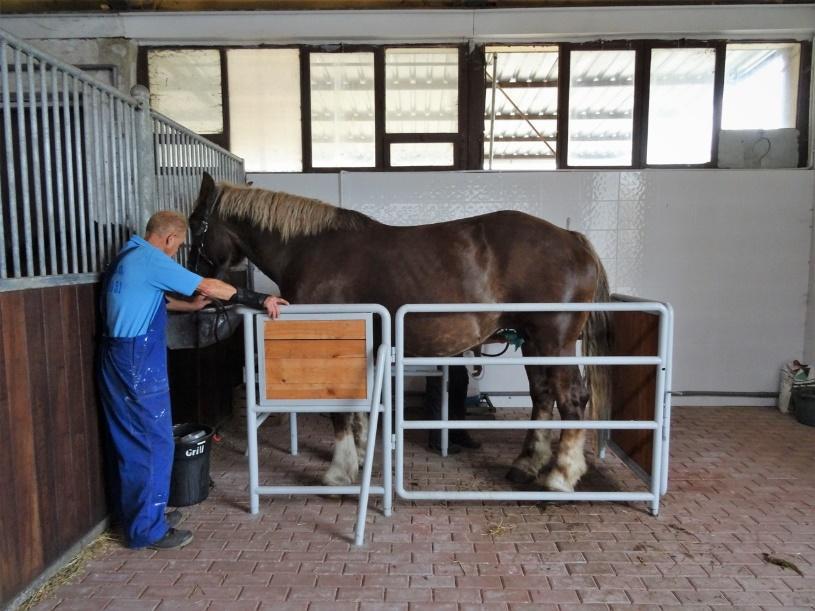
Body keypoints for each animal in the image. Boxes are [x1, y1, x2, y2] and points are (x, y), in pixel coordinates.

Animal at [191, 172, 612, 492]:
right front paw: (360, 458)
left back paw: (559, 477)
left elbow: (339, 411)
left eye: (195, 224)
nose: (197, 285)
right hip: (533, 342)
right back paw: (525, 465)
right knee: (542, 396)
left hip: (553, 341)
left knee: (571, 399)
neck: (308, 250)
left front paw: (338, 472)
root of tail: (574, 241)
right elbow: (357, 409)